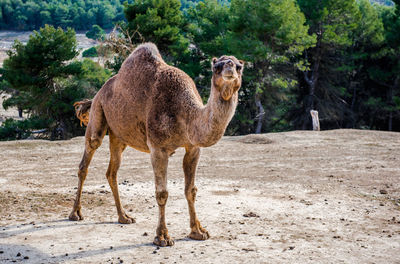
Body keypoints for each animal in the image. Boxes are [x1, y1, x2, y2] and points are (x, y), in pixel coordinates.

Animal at [69, 42, 244, 246]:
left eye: (239, 67)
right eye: (216, 67)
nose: (229, 69)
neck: (186, 114)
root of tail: (97, 93)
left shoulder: (193, 148)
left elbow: (191, 190)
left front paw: (198, 231)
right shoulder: (158, 148)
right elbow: (162, 193)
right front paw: (162, 237)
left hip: (118, 136)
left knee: (112, 171)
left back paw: (124, 217)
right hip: (98, 113)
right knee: (87, 158)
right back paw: (75, 214)